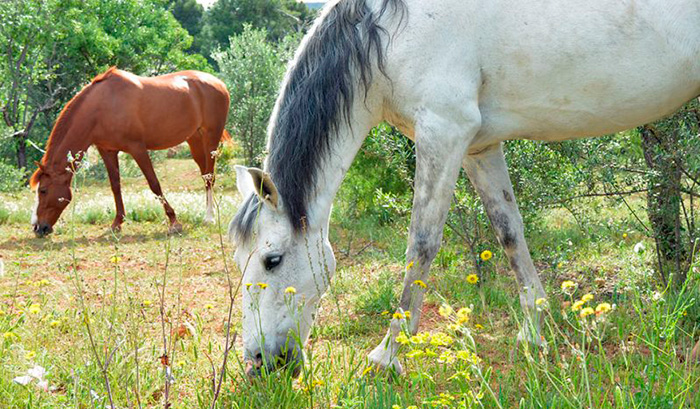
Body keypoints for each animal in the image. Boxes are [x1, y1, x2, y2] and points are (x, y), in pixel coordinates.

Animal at [30, 67, 230, 237]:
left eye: (43, 190)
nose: (38, 228)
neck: (101, 107)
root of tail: (218, 83)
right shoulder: (107, 150)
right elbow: (115, 185)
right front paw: (117, 223)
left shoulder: (137, 149)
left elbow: (154, 184)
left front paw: (174, 222)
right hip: (194, 139)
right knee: (205, 175)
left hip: (211, 138)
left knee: (210, 176)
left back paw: (209, 218)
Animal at [229, 0, 700, 375]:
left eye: (272, 260)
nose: (258, 364)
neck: (391, 29)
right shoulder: (479, 146)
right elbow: (509, 232)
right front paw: (534, 331)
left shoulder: (444, 130)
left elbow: (421, 245)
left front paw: (388, 354)